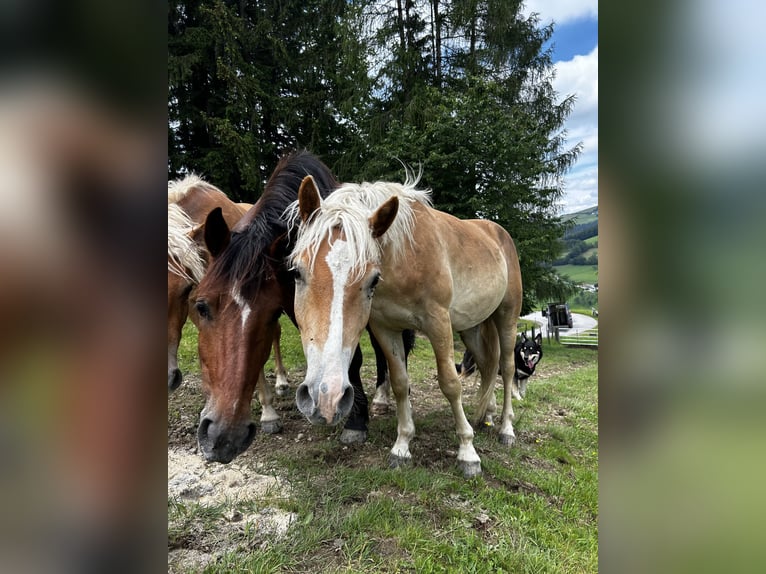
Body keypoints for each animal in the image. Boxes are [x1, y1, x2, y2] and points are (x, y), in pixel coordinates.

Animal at [292, 174, 524, 476]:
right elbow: (400, 383)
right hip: (471, 328)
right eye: (297, 272)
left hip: (507, 318)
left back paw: (506, 428)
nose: (325, 396)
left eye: (372, 280)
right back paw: (488, 415)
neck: (404, 259)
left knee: (506, 369)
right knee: (488, 366)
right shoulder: (385, 328)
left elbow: (451, 384)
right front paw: (402, 446)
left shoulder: (438, 323)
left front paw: (467, 452)